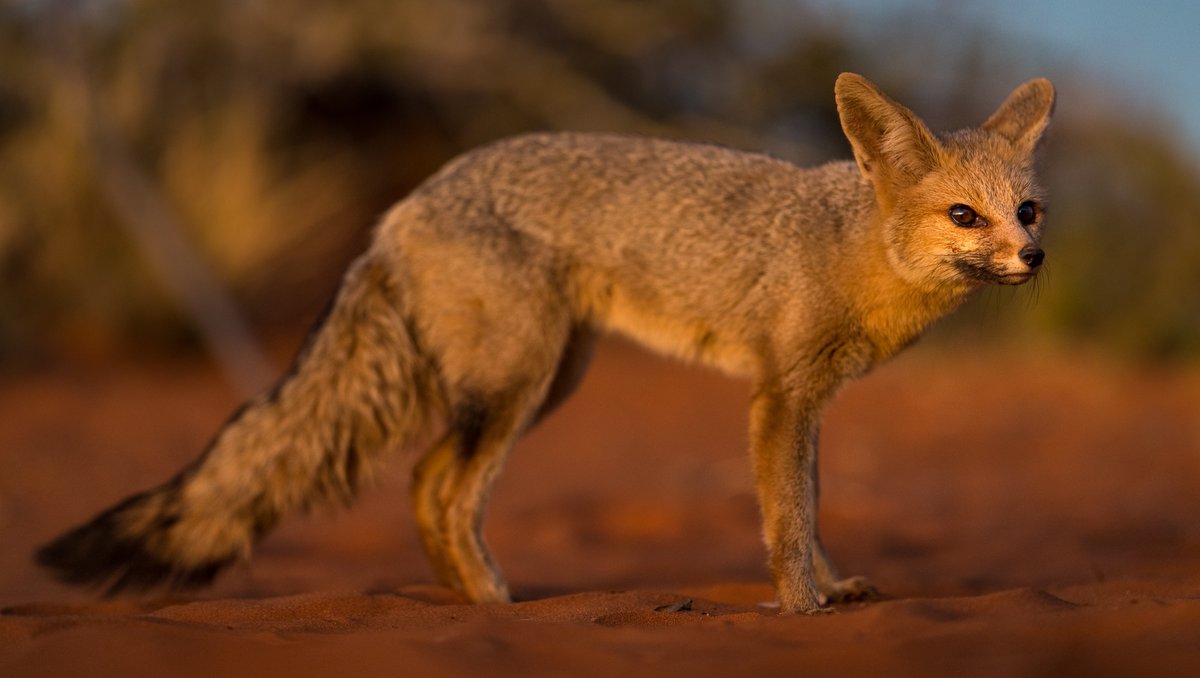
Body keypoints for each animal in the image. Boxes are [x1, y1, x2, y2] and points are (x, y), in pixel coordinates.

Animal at [35, 74, 1051, 614]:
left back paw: (469, 604)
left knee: (423, 479)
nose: (1035, 257)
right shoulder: (779, 395)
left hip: (547, 378)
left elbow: (811, 509)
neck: (850, 245)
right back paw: (492, 607)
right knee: (444, 487)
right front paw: (801, 608)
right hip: (519, 382)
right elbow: (787, 519)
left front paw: (832, 592)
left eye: (1028, 210)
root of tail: (400, 207)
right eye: (965, 217)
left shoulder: (811, 402)